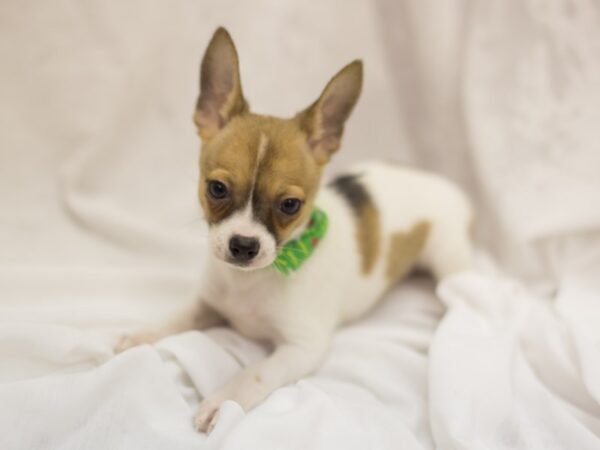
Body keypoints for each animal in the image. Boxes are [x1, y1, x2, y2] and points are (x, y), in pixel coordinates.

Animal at [116, 27, 474, 432]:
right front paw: (142, 334)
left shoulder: (301, 349)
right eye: (217, 189)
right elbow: (178, 317)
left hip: (448, 257)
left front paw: (223, 400)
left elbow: (254, 373)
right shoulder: (208, 303)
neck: (253, 281)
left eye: (290, 205)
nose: (244, 245)